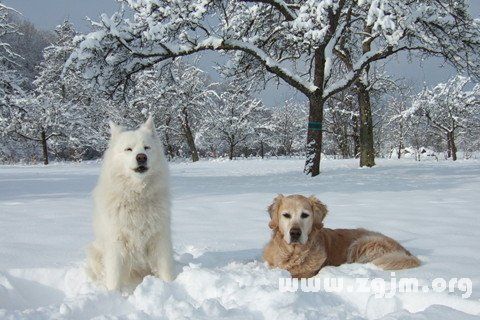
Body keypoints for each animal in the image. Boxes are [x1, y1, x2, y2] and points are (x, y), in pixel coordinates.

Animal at [87, 116, 174, 292]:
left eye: (146, 148)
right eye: (128, 149)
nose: (141, 157)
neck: (137, 196)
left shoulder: (160, 240)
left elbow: (166, 271)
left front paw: (171, 287)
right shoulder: (116, 243)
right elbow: (114, 278)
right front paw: (113, 295)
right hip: (94, 252)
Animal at [262, 194, 420, 278]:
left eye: (305, 215)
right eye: (286, 215)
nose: (295, 233)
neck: (293, 253)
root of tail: (405, 251)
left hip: (362, 242)